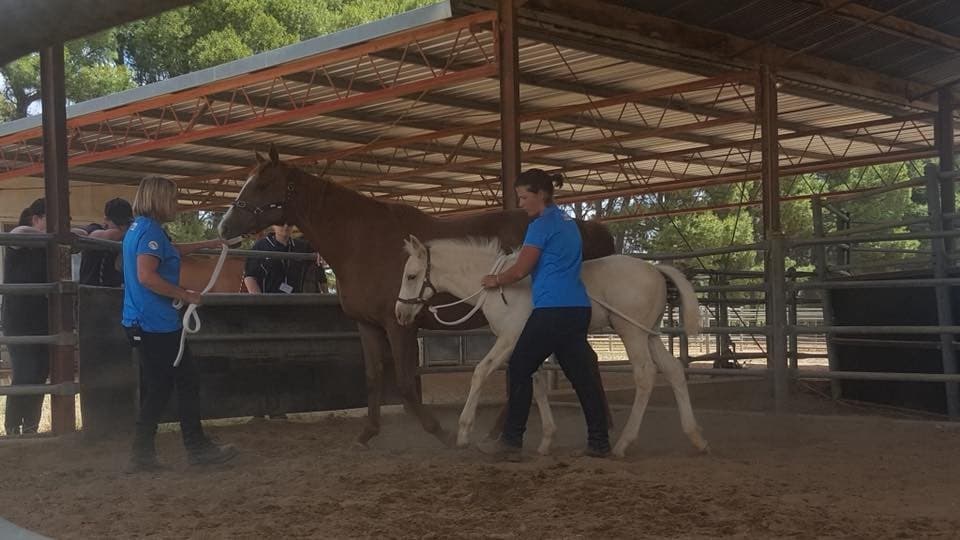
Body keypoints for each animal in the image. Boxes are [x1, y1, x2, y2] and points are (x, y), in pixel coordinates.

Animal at [217, 146, 617, 448]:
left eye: (262, 184)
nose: (223, 227)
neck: (363, 241)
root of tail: (584, 227)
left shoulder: (400, 324)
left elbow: (407, 384)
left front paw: (440, 431)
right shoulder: (367, 326)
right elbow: (374, 377)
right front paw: (368, 433)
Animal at [394, 235, 709, 457]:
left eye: (411, 276)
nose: (400, 313)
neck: (501, 287)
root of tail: (656, 271)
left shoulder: (510, 338)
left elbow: (481, 372)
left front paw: (463, 433)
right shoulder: (527, 342)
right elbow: (537, 384)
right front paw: (546, 439)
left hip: (630, 332)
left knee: (645, 375)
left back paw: (622, 444)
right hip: (650, 334)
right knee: (674, 371)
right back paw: (696, 438)